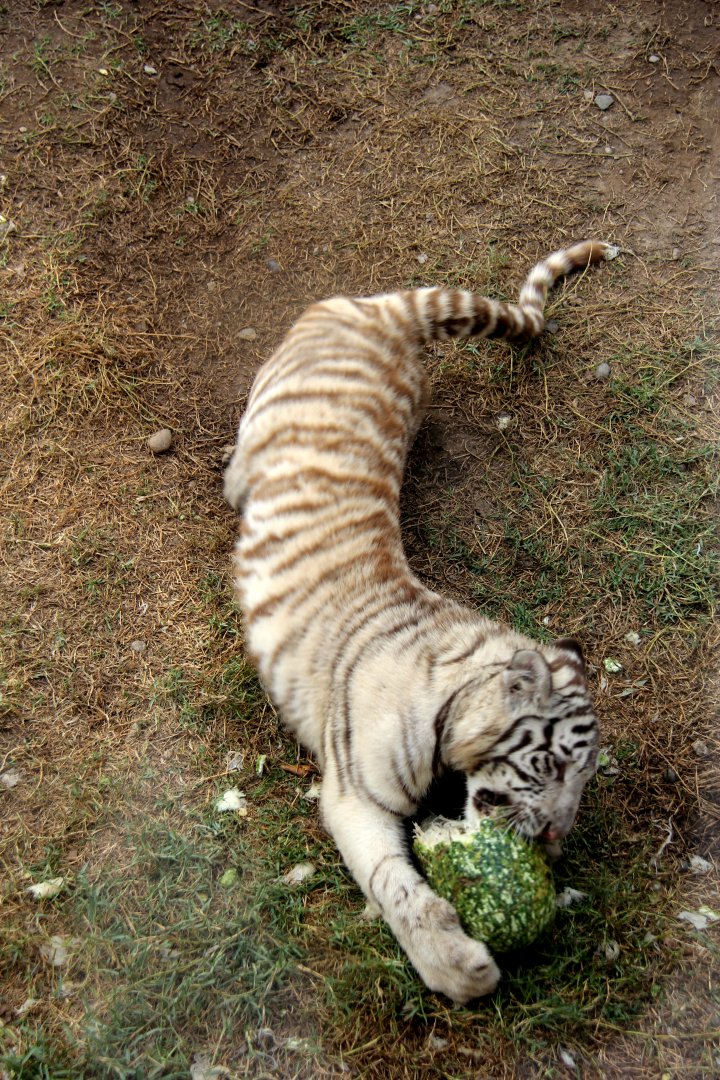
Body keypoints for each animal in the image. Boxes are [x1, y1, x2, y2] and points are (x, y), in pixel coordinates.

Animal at [224, 240, 617, 1003]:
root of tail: (395, 319)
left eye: (587, 780)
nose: (557, 841)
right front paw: (456, 965)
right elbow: (395, 885)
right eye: (553, 764)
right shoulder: (354, 795)